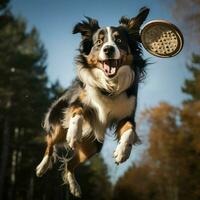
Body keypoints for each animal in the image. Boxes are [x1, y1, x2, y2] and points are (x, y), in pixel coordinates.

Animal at [35, 7, 148, 198]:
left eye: (119, 40)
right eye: (99, 42)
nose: (108, 49)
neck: (109, 87)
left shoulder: (127, 115)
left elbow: (129, 131)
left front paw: (122, 152)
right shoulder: (77, 102)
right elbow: (78, 112)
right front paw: (74, 133)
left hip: (93, 145)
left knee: (70, 164)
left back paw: (75, 187)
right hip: (59, 123)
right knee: (50, 143)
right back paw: (42, 166)